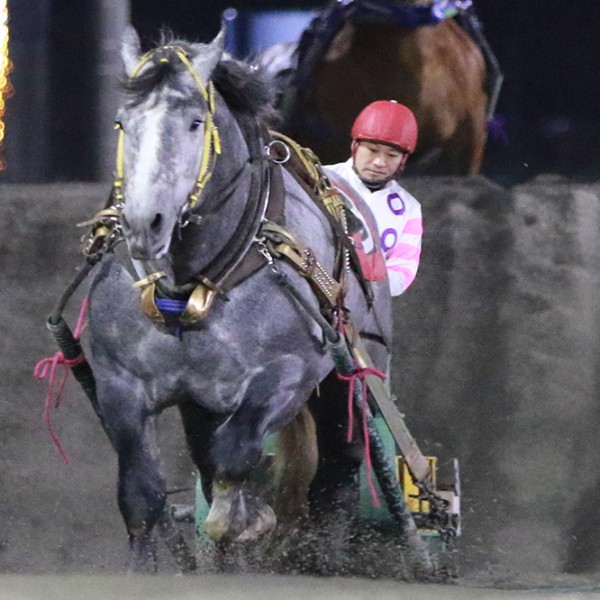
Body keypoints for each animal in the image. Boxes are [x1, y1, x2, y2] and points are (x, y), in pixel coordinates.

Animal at [85, 27, 394, 572]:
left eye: (194, 122)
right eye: (123, 123)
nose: (145, 224)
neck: (191, 283)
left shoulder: (286, 375)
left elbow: (234, 458)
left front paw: (250, 520)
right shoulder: (120, 383)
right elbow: (141, 494)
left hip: (352, 373)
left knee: (339, 469)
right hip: (200, 401)